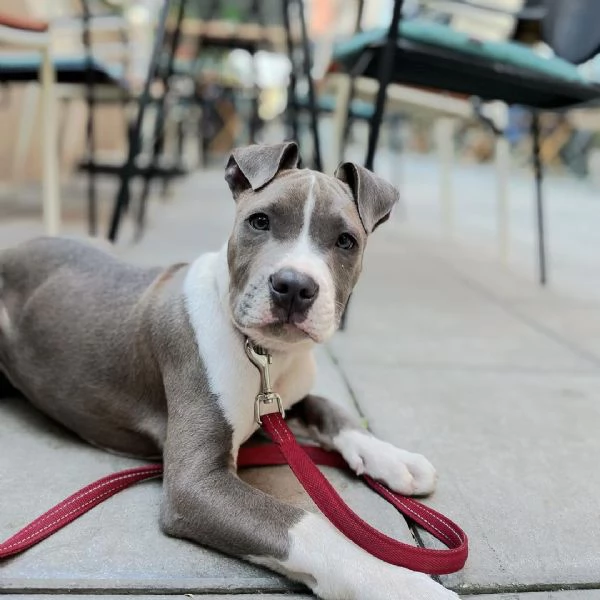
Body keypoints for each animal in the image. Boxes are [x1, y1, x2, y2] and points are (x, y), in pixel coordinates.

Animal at [0, 143, 458, 596]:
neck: (266, 354)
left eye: (346, 241)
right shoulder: (195, 484)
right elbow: (305, 526)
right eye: (260, 221)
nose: (293, 286)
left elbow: (330, 408)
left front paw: (390, 456)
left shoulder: (281, 399)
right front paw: (393, 580)